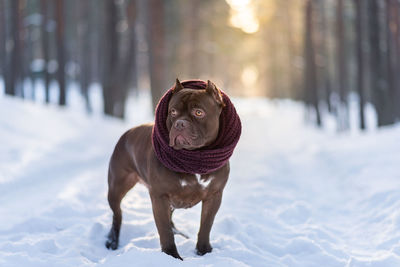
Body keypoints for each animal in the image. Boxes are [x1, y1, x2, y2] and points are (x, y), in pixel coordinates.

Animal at [105, 79, 231, 262]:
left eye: (198, 112)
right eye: (173, 111)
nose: (180, 123)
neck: (195, 158)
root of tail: (127, 133)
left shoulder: (214, 195)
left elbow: (206, 225)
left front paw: (203, 251)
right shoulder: (159, 196)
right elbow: (164, 230)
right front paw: (172, 256)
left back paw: (178, 233)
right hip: (116, 188)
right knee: (117, 214)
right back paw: (112, 241)